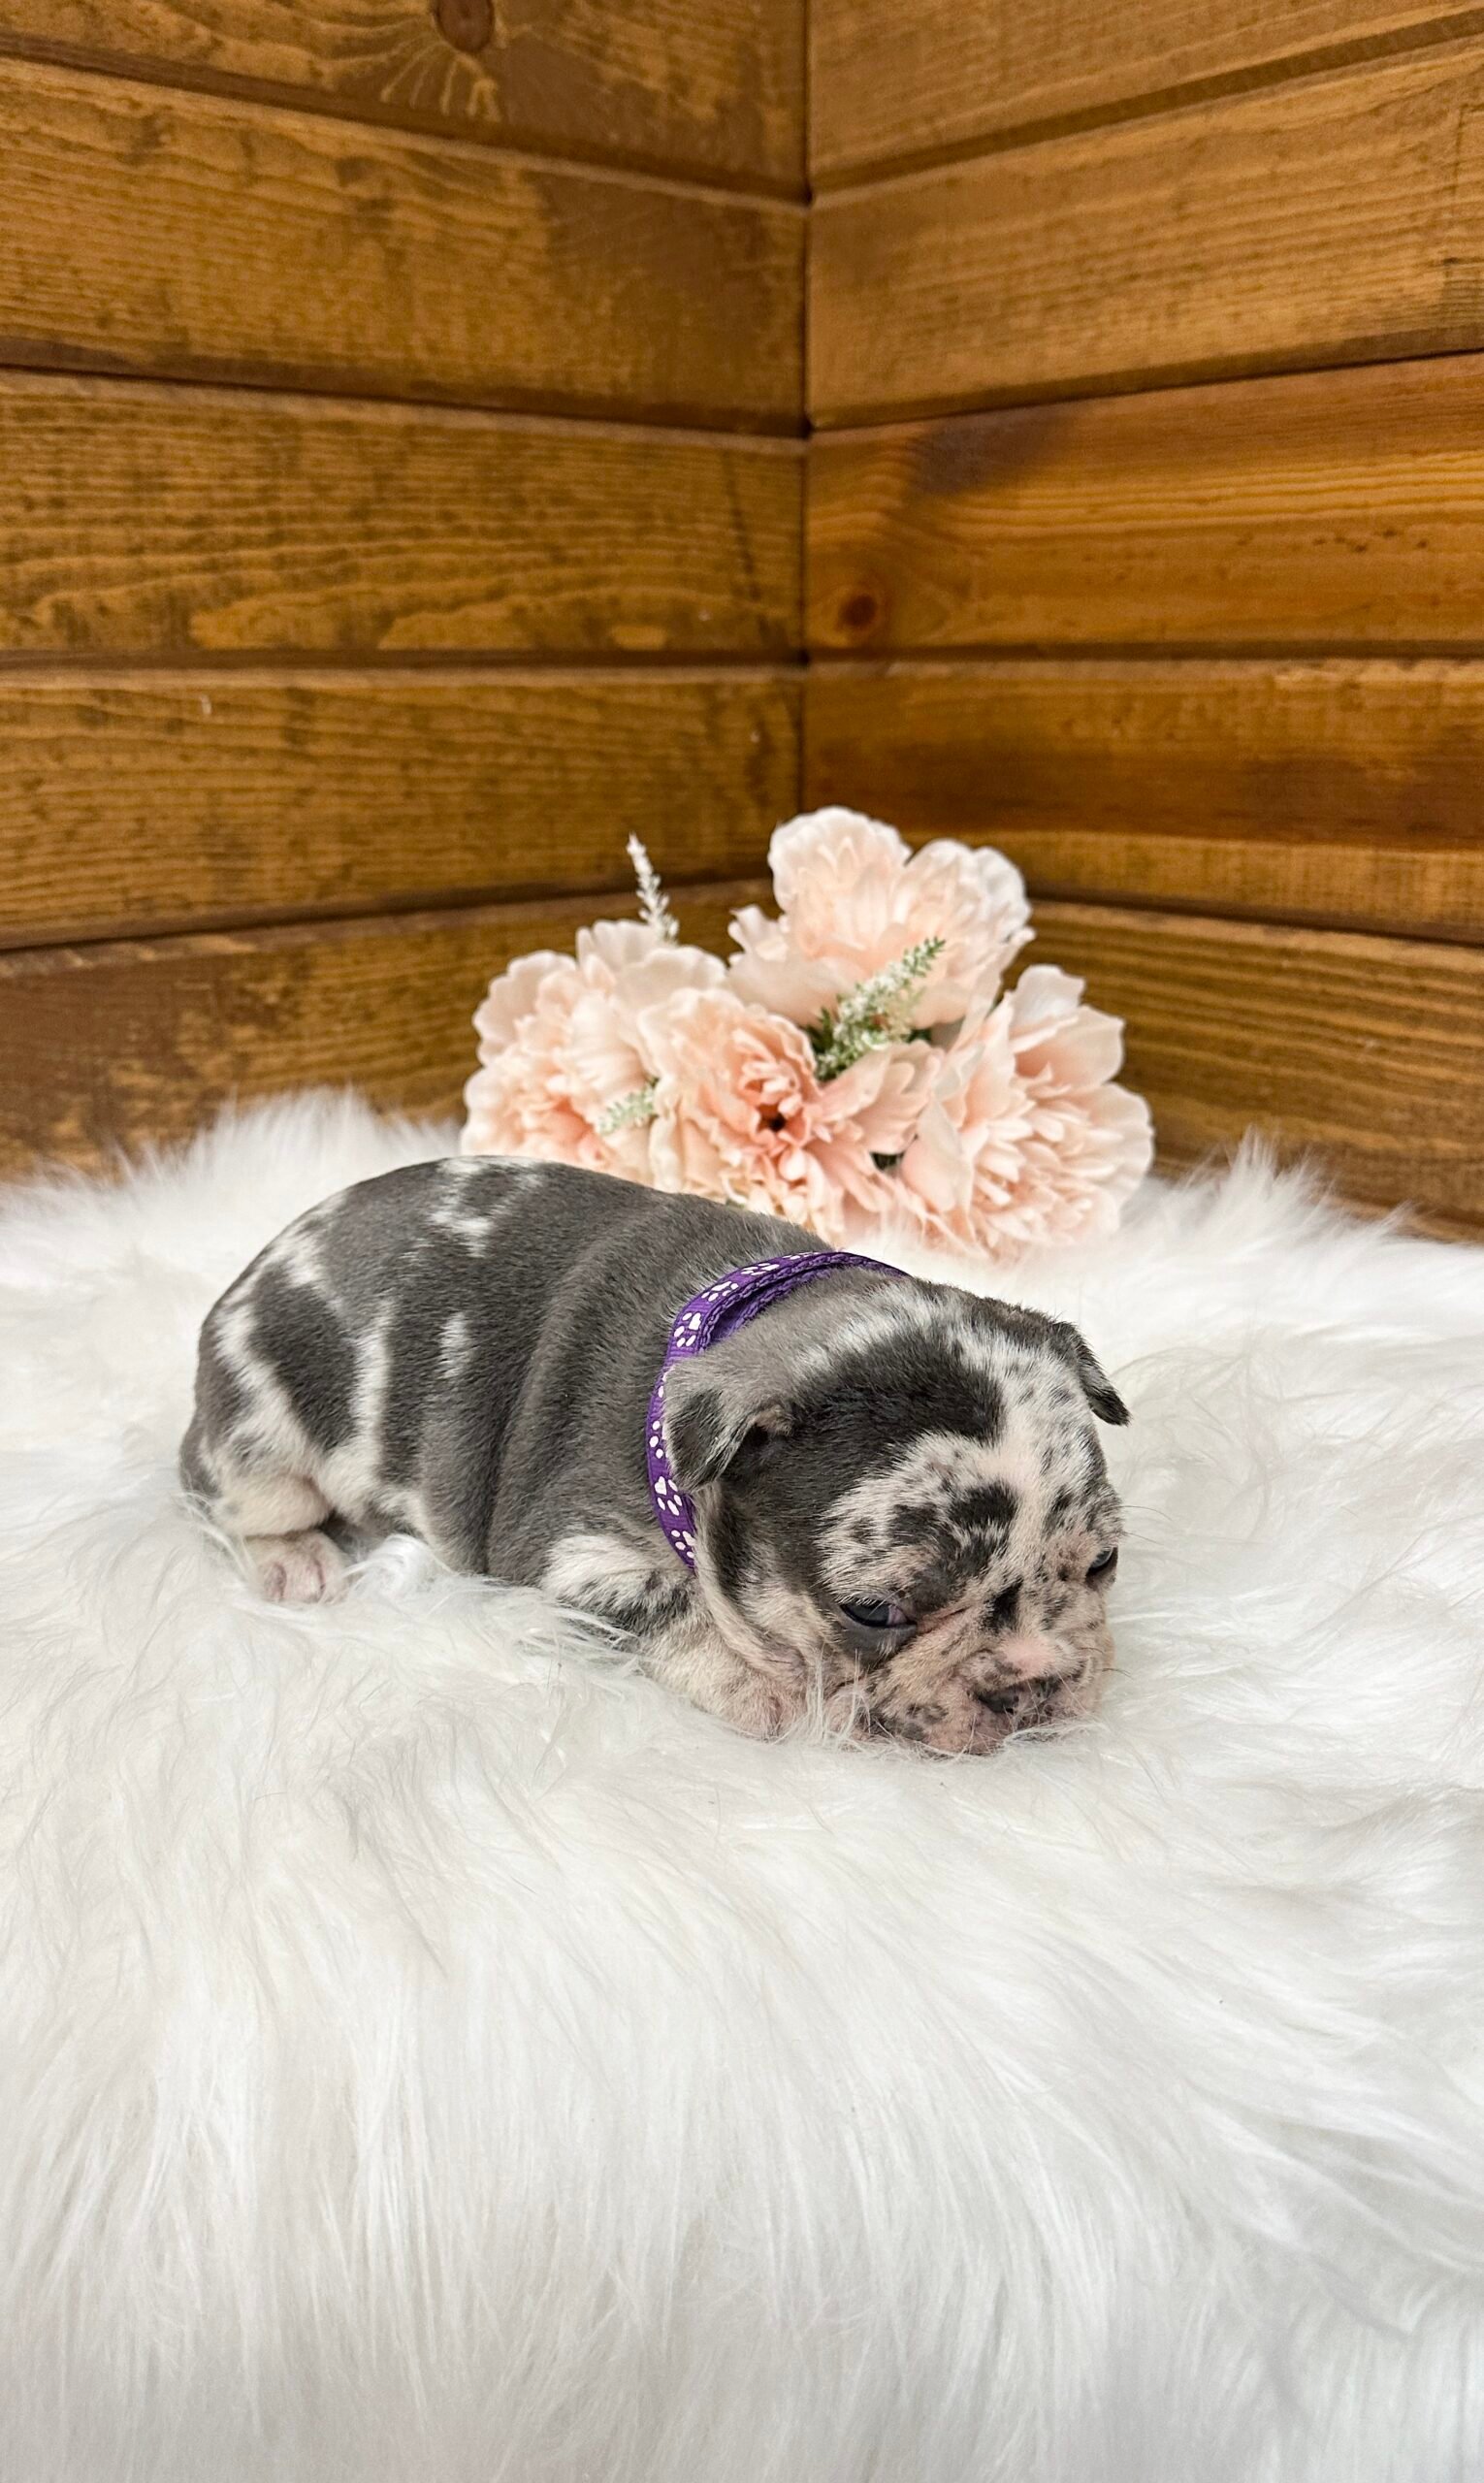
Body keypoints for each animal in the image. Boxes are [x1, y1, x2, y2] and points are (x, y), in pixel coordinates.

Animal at [180, 1155, 1128, 1754]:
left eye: (1104, 1563)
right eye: (875, 1612)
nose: (1036, 1683)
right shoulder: (573, 1557)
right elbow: (676, 1610)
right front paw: (764, 1687)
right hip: (263, 1436)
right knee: (220, 1499)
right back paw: (294, 1561)